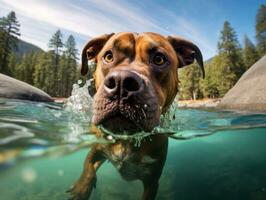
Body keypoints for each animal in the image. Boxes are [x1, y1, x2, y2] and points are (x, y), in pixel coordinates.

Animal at [67, 32, 204, 200]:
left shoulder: (152, 181)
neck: (126, 138)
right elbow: (88, 168)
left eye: (159, 59)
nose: (121, 82)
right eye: (108, 56)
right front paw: (81, 188)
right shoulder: (96, 148)